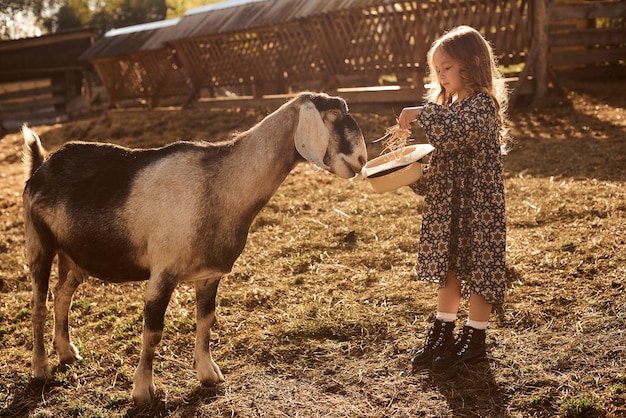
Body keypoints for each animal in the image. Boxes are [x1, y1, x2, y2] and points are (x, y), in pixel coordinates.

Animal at [23, 92, 366, 404]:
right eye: (333, 117)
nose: (361, 161)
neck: (218, 183)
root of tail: (41, 167)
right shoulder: (163, 273)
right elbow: (153, 332)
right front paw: (143, 390)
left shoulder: (209, 275)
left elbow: (206, 321)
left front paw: (208, 374)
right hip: (39, 244)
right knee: (39, 304)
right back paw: (40, 369)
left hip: (71, 256)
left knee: (62, 296)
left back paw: (67, 352)